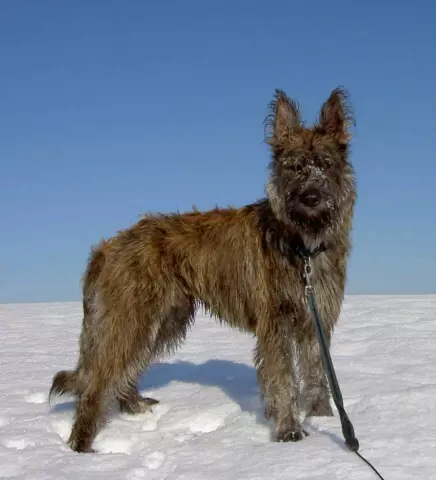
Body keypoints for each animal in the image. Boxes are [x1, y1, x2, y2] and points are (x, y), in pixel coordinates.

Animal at [50, 87, 358, 454]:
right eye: (293, 166)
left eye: (326, 164)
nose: (310, 197)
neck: (303, 245)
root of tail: (110, 245)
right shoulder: (276, 324)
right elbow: (283, 379)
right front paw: (289, 430)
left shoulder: (316, 320)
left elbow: (316, 372)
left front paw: (323, 416)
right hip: (132, 318)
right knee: (98, 382)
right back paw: (81, 447)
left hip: (165, 319)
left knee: (124, 370)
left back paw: (133, 406)